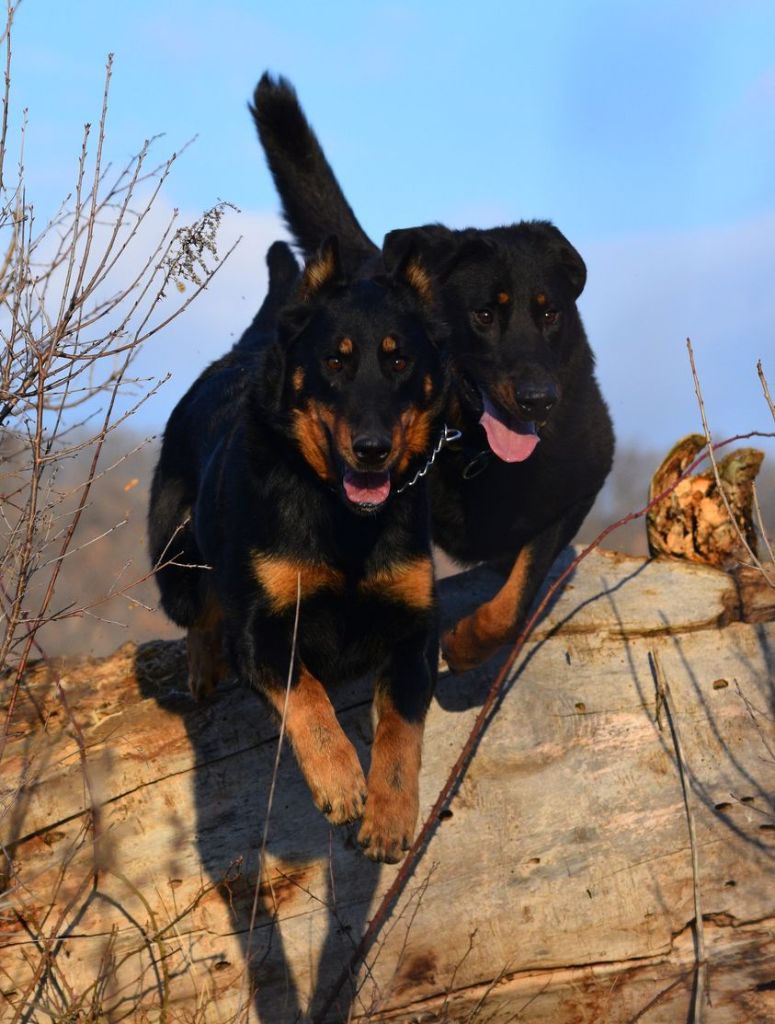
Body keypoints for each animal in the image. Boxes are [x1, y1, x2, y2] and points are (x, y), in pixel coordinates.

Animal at [148, 236, 449, 862]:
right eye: (335, 361)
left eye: (400, 361)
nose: (372, 450)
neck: (345, 520)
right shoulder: (260, 629)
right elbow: (306, 697)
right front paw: (340, 781)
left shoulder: (416, 628)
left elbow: (402, 731)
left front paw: (389, 814)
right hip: (176, 564)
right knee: (200, 613)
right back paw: (203, 669)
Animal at [252, 75, 615, 672]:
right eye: (484, 314)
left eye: (550, 313)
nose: (540, 399)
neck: (476, 449)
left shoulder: (580, 483)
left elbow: (518, 595)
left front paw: (469, 642)